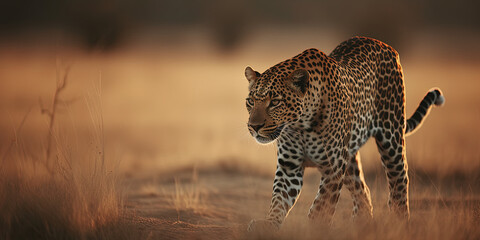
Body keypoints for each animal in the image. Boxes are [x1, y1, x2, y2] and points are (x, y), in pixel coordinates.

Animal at [246, 36, 444, 232]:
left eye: (275, 102)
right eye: (250, 101)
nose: (254, 126)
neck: (300, 126)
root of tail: (386, 46)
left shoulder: (333, 168)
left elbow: (321, 206)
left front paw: (314, 230)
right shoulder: (290, 166)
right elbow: (279, 199)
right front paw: (268, 224)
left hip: (391, 137)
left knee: (399, 179)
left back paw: (400, 222)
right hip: (350, 159)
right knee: (363, 190)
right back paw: (360, 224)